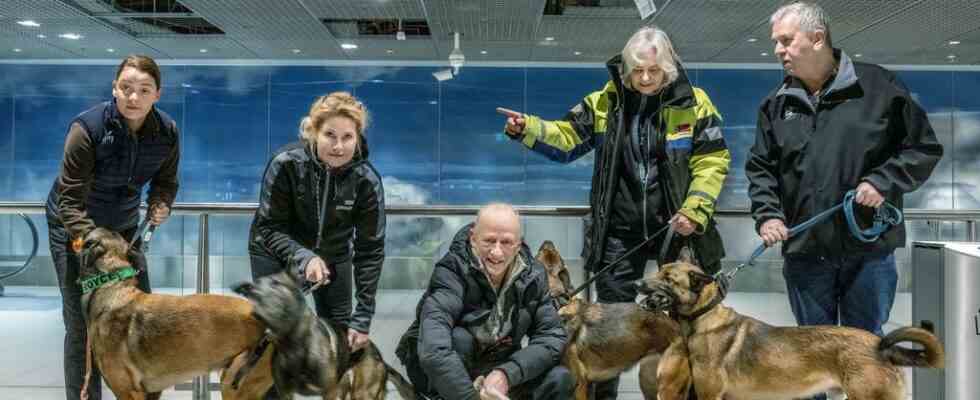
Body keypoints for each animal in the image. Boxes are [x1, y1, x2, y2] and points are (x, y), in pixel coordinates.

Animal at [640, 260, 944, 400]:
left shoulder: (709, 395)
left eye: (667, 278)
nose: (636, 284)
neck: (704, 318)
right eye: (659, 271)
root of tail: (882, 347)